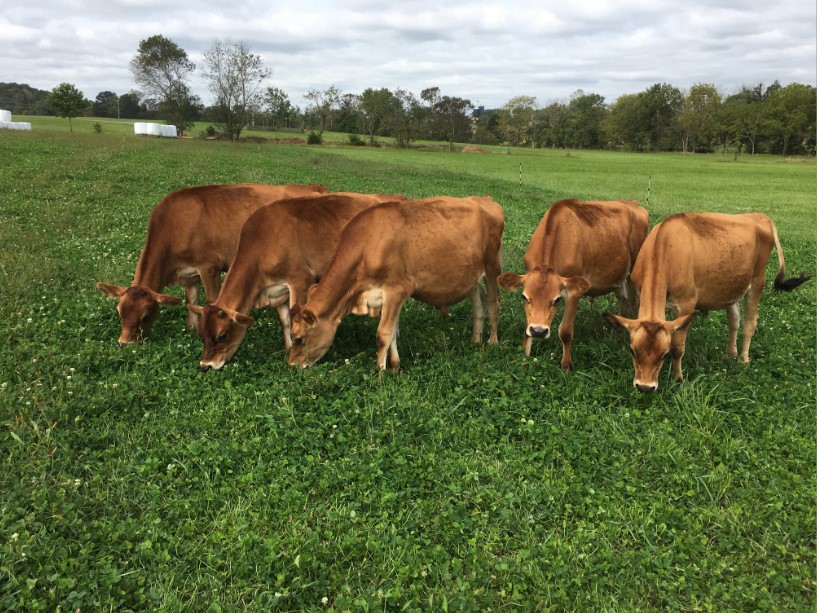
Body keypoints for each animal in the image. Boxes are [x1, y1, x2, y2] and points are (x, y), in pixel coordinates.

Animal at [93, 182, 328, 344]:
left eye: (145, 315)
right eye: (119, 312)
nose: (125, 342)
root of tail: (314, 187)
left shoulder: (209, 267)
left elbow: (212, 299)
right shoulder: (189, 275)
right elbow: (191, 303)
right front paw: (191, 331)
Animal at [192, 194, 408, 370]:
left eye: (222, 335)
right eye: (201, 335)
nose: (205, 365)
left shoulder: (300, 280)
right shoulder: (278, 291)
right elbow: (285, 320)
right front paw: (287, 348)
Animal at [286, 196, 504, 368]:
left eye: (298, 339)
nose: (292, 365)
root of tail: (485, 200)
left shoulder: (397, 290)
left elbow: (383, 333)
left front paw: (380, 372)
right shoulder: (389, 297)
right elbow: (391, 332)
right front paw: (395, 366)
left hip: (493, 266)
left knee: (493, 304)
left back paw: (492, 341)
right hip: (471, 276)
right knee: (478, 305)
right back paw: (476, 340)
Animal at [494, 198, 648, 370]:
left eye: (556, 300)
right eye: (524, 297)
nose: (539, 331)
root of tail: (632, 203)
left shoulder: (574, 291)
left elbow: (566, 331)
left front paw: (566, 365)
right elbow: (528, 324)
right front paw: (525, 354)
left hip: (634, 273)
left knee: (635, 303)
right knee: (624, 301)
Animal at [604, 212, 808, 392]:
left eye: (664, 354)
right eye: (632, 350)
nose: (644, 387)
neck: (665, 248)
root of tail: (759, 216)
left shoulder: (686, 305)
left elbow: (678, 347)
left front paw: (677, 377)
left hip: (757, 281)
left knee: (749, 323)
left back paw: (743, 359)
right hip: (731, 288)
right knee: (734, 320)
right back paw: (730, 353)